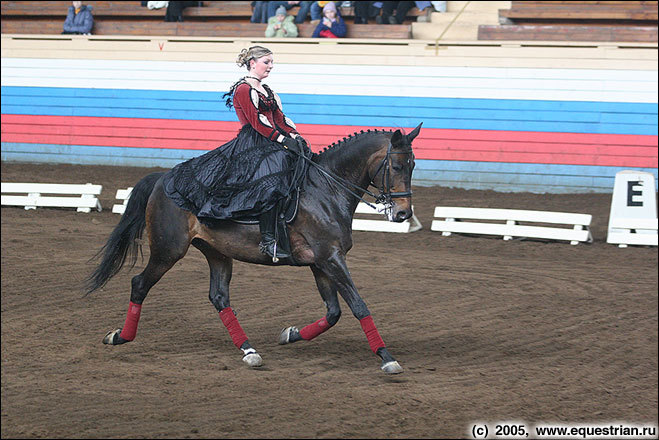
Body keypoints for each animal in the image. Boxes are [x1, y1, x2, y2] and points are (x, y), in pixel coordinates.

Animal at [86, 122, 422, 372]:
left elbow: (334, 312)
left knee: (219, 296)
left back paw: (249, 351)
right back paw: (120, 337)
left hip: (217, 253)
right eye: (395, 166)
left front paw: (291, 334)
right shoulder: (330, 259)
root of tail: (161, 179)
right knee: (139, 284)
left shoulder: (321, 262)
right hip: (168, 251)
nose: (403, 214)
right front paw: (387, 357)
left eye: (413, 165)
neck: (326, 190)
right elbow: (358, 305)